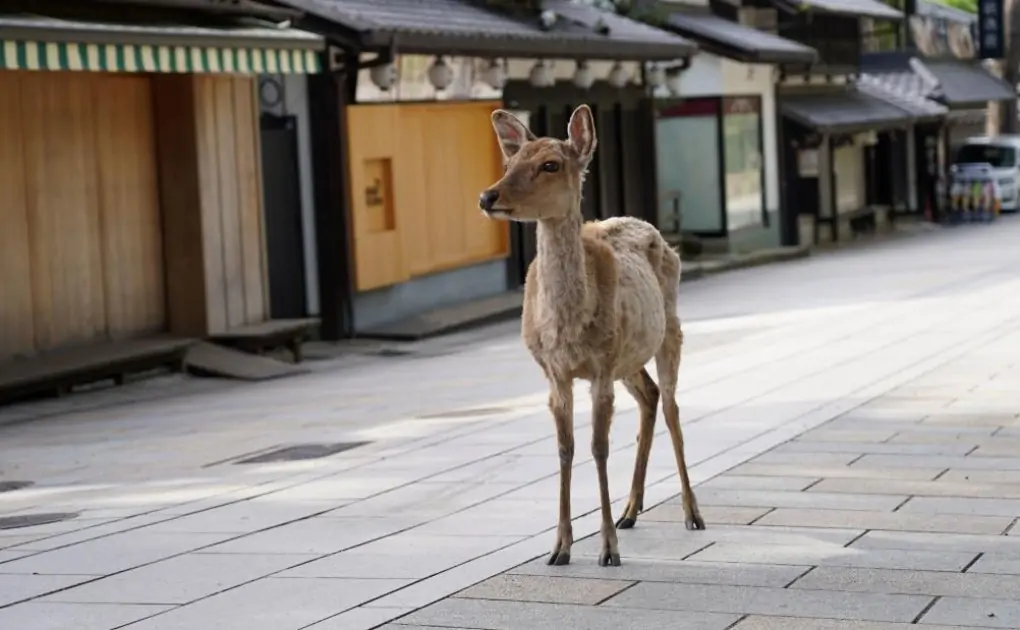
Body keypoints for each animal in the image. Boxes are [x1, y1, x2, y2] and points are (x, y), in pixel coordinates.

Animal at [477, 104, 704, 567]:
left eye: (550, 164)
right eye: (510, 162)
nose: (488, 197)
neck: (567, 328)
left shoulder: (600, 369)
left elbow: (599, 447)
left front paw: (607, 551)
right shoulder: (555, 373)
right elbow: (565, 448)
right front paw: (559, 548)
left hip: (668, 330)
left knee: (672, 405)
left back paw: (692, 513)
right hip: (628, 356)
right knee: (650, 396)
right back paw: (630, 511)